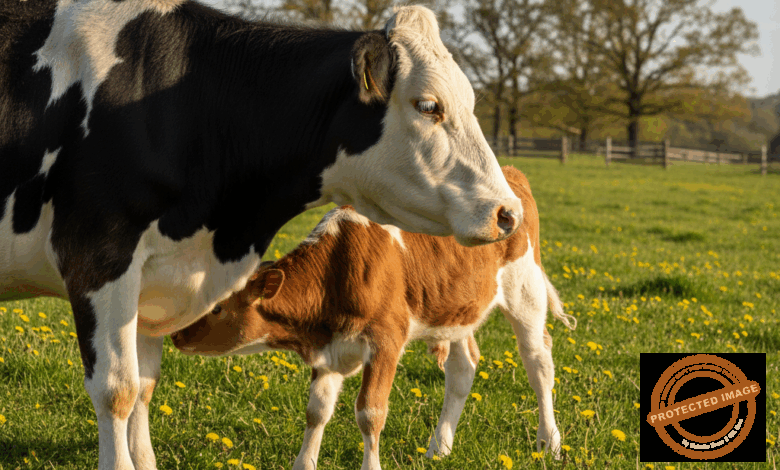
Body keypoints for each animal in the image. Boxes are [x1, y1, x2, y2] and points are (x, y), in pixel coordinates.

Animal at [0, 1, 523, 468]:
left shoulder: (155, 280)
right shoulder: (99, 257)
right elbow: (118, 390)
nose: (507, 213)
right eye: (428, 105)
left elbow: (145, 384)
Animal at [172, 166, 577, 470]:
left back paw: (549, 444)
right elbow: (316, 411)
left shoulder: (386, 341)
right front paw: (304, 463)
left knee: (539, 364)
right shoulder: (330, 348)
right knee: (462, 370)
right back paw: (439, 448)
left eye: (218, 307)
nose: (177, 336)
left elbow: (370, 412)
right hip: (457, 309)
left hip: (526, 292)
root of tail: (510, 174)